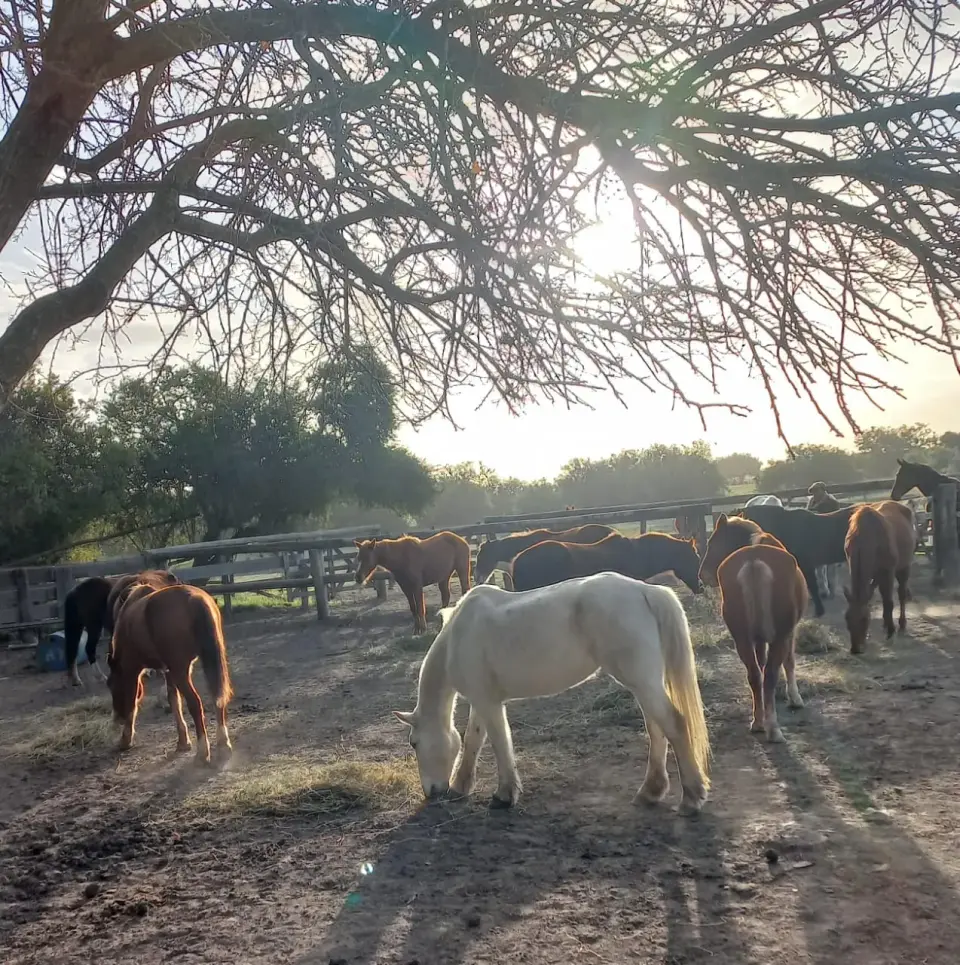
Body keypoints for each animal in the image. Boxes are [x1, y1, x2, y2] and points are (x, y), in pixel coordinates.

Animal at [107, 582, 233, 763]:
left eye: (111, 685)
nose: (118, 716)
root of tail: (194, 598)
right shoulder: (167, 670)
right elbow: (174, 700)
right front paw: (183, 741)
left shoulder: (131, 670)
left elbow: (132, 703)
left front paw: (125, 739)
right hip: (203, 665)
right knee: (217, 698)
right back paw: (223, 744)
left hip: (181, 671)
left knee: (195, 703)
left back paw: (203, 751)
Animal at [392, 571, 711, 814]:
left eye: (414, 743)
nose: (431, 792)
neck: (457, 636)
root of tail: (645, 590)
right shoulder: (481, 701)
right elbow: (472, 740)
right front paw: (461, 786)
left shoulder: (488, 702)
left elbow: (499, 743)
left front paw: (504, 795)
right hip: (644, 684)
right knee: (657, 730)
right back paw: (650, 792)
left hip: (642, 682)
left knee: (675, 725)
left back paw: (692, 797)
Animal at [843, 501, 916, 655]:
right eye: (847, 617)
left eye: (865, 619)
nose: (855, 649)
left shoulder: (888, 571)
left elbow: (889, 602)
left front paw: (891, 630)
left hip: (904, 567)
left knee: (901, 594)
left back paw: (901, 624)